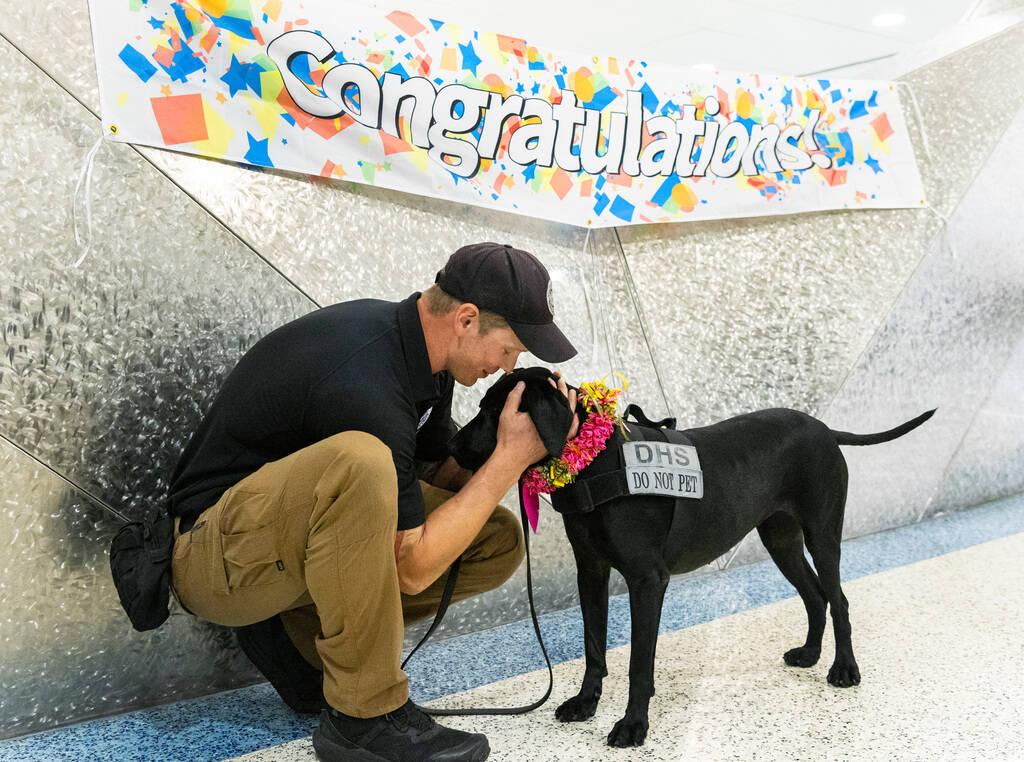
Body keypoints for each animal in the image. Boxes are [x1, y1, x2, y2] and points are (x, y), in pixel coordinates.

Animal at [452, 366, 933, 745]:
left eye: (494, 411)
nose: (453, 444)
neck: (596, 462)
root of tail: (824, 428)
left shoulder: (647, 580)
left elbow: (638, 663)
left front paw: (633, 725)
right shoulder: (590, 572)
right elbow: (593, 648)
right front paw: (586, 703)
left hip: (822, 534)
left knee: (839, 600)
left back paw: (844, 668)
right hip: (780, 539)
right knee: (815, 596)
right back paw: (810, 654)